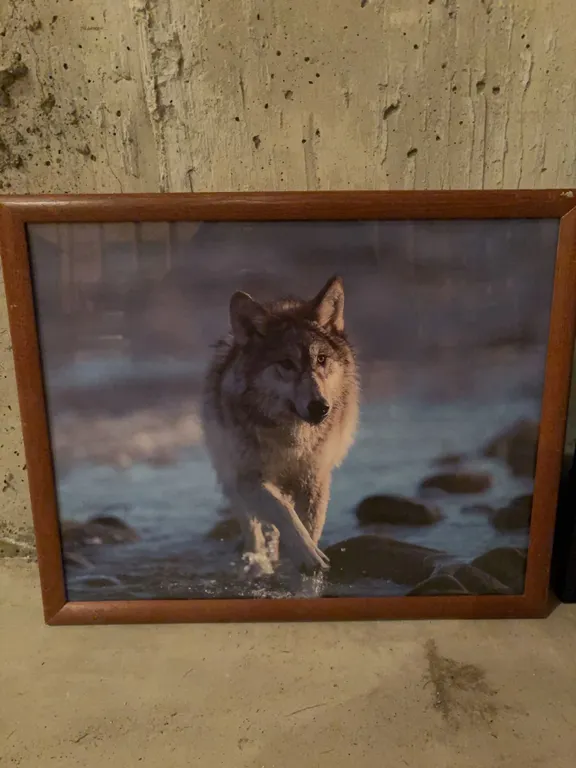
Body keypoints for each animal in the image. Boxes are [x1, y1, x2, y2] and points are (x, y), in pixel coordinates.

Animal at [202, 275, 359, 576]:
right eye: (286, 363)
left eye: (321, 359)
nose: (320, 407)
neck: (291, 438)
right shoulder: (249, 479)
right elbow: (284, 513)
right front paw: (307, 555)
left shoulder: (315, 480)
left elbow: (309, 525)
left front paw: (305, 563)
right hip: (230, 478)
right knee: (252, 527)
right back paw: (255, 560)